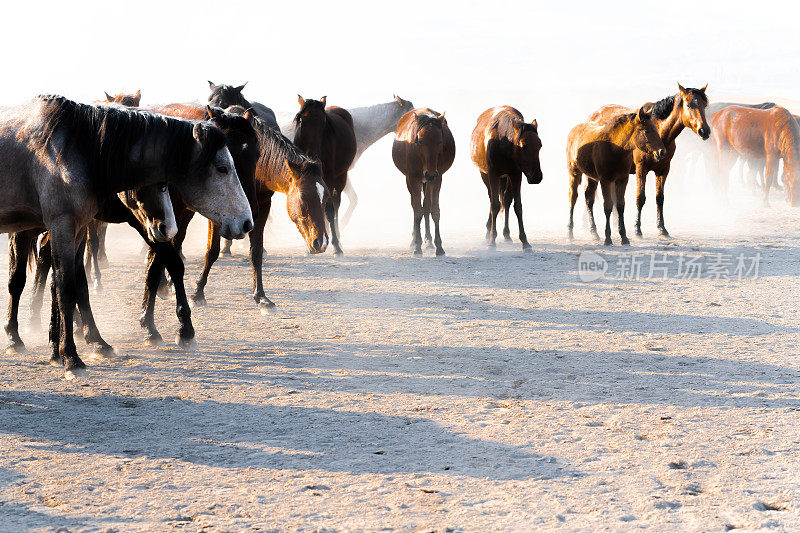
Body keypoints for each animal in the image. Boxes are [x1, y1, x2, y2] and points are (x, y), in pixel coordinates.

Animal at [0, 95, 253, 378]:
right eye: (222, 168)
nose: (246, 222)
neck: (81, 148)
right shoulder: (76, 224)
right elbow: (68, 286)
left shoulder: (87, 227)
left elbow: (89, 283)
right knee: (19, 278)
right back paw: (17, 336)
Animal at [394, 107, 456, 256]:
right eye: (420, 141)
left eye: (440, 141)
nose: (430, 173)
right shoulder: (413, 178)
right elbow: (417, 211)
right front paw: (417, 246)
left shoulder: (437, 178)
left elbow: (434, 210)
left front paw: (439, 246)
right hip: (413, 179)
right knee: (415, 206)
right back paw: (415, 240)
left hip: (428, 181)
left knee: (426, 206)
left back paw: (428, 241)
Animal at [468, 107, 544, 251]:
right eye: (523, 146)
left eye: (540, 145)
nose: (536, 177)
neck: (503, 142)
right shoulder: (492, 174)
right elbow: (495, 205)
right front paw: (492, 241)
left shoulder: (516, 175)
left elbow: (517, 206)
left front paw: (525, 242)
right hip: (485, 175)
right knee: (492, 199)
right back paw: (489, 231)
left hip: (506, 178)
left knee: (506, 200)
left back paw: (506, 234)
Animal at [568, 106, 668, 247]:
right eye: (646, 130)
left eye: (655, 128)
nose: (662, 152)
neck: (614, 148)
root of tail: (574, 129)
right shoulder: (605, 180)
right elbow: (608, 206)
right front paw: (608, 238)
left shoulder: (622, 180)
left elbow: (620, 206)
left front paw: (624, 237)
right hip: (574, 173)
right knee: (573, 198)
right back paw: (570, 233)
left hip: (591, 178)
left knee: (589, 198)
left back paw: (594, 233)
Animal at [584, 83, 708, 237]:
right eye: (690, 105)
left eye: (704, 105)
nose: (705, 131)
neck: (659, 132)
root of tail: (592, 116)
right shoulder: (641, 169)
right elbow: (640, 198)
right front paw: (637, 229)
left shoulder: (663, 170)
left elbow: (659, 198)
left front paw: (662, 228)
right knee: (589, 196)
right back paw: (592, 230)